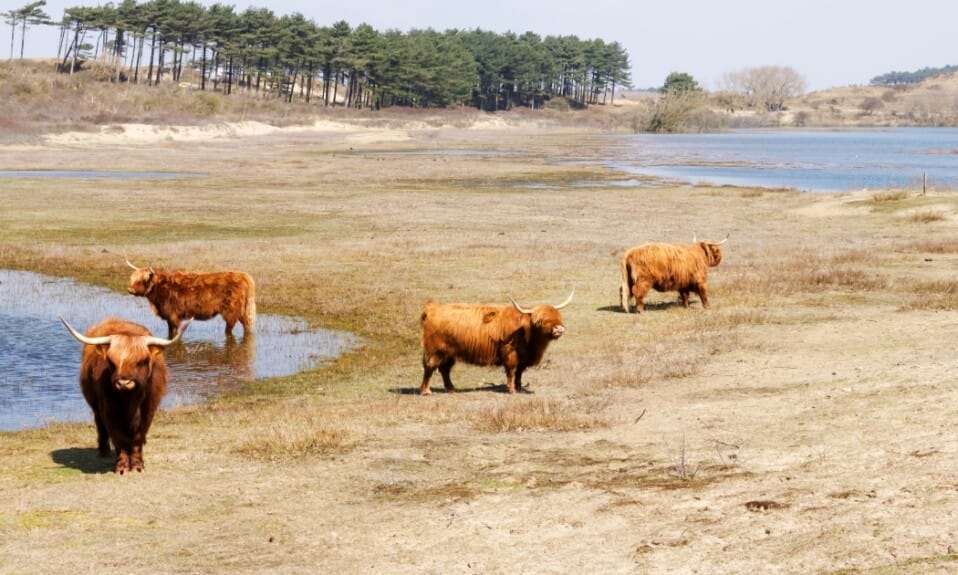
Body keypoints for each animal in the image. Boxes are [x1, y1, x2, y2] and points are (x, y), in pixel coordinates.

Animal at [59, 318, 191, 474]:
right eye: (111, 362)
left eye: (141, 361)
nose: (123, 382)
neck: (131, 400)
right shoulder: (109, 411)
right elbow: (119, 438)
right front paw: (122, 467)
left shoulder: (148, 411)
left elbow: (138, 438)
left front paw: (138, 466)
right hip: (96, 406)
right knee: (100, 425)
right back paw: (104, 451)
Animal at [125, 260, 256, 340]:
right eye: (132, 278)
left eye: (141, 281)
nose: (130, 289)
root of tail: (244, 276)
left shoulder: (173, 316)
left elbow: (173, 333)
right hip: (243, 311)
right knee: (247, 326)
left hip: (231, 311)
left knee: (230, 328)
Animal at [418, 292, 568, 396]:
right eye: (540, 321)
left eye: (558, 317)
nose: (559, 329)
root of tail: (432, 308)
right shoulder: (510, 354)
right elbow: (512, 372)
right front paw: (512, 390)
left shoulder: (523, 358)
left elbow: (519, 373)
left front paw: (519, 388)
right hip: (434, 351)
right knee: (429, 367)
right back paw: (426, 391)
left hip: (449, 353)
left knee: (445, 369)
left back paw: (451, 388)